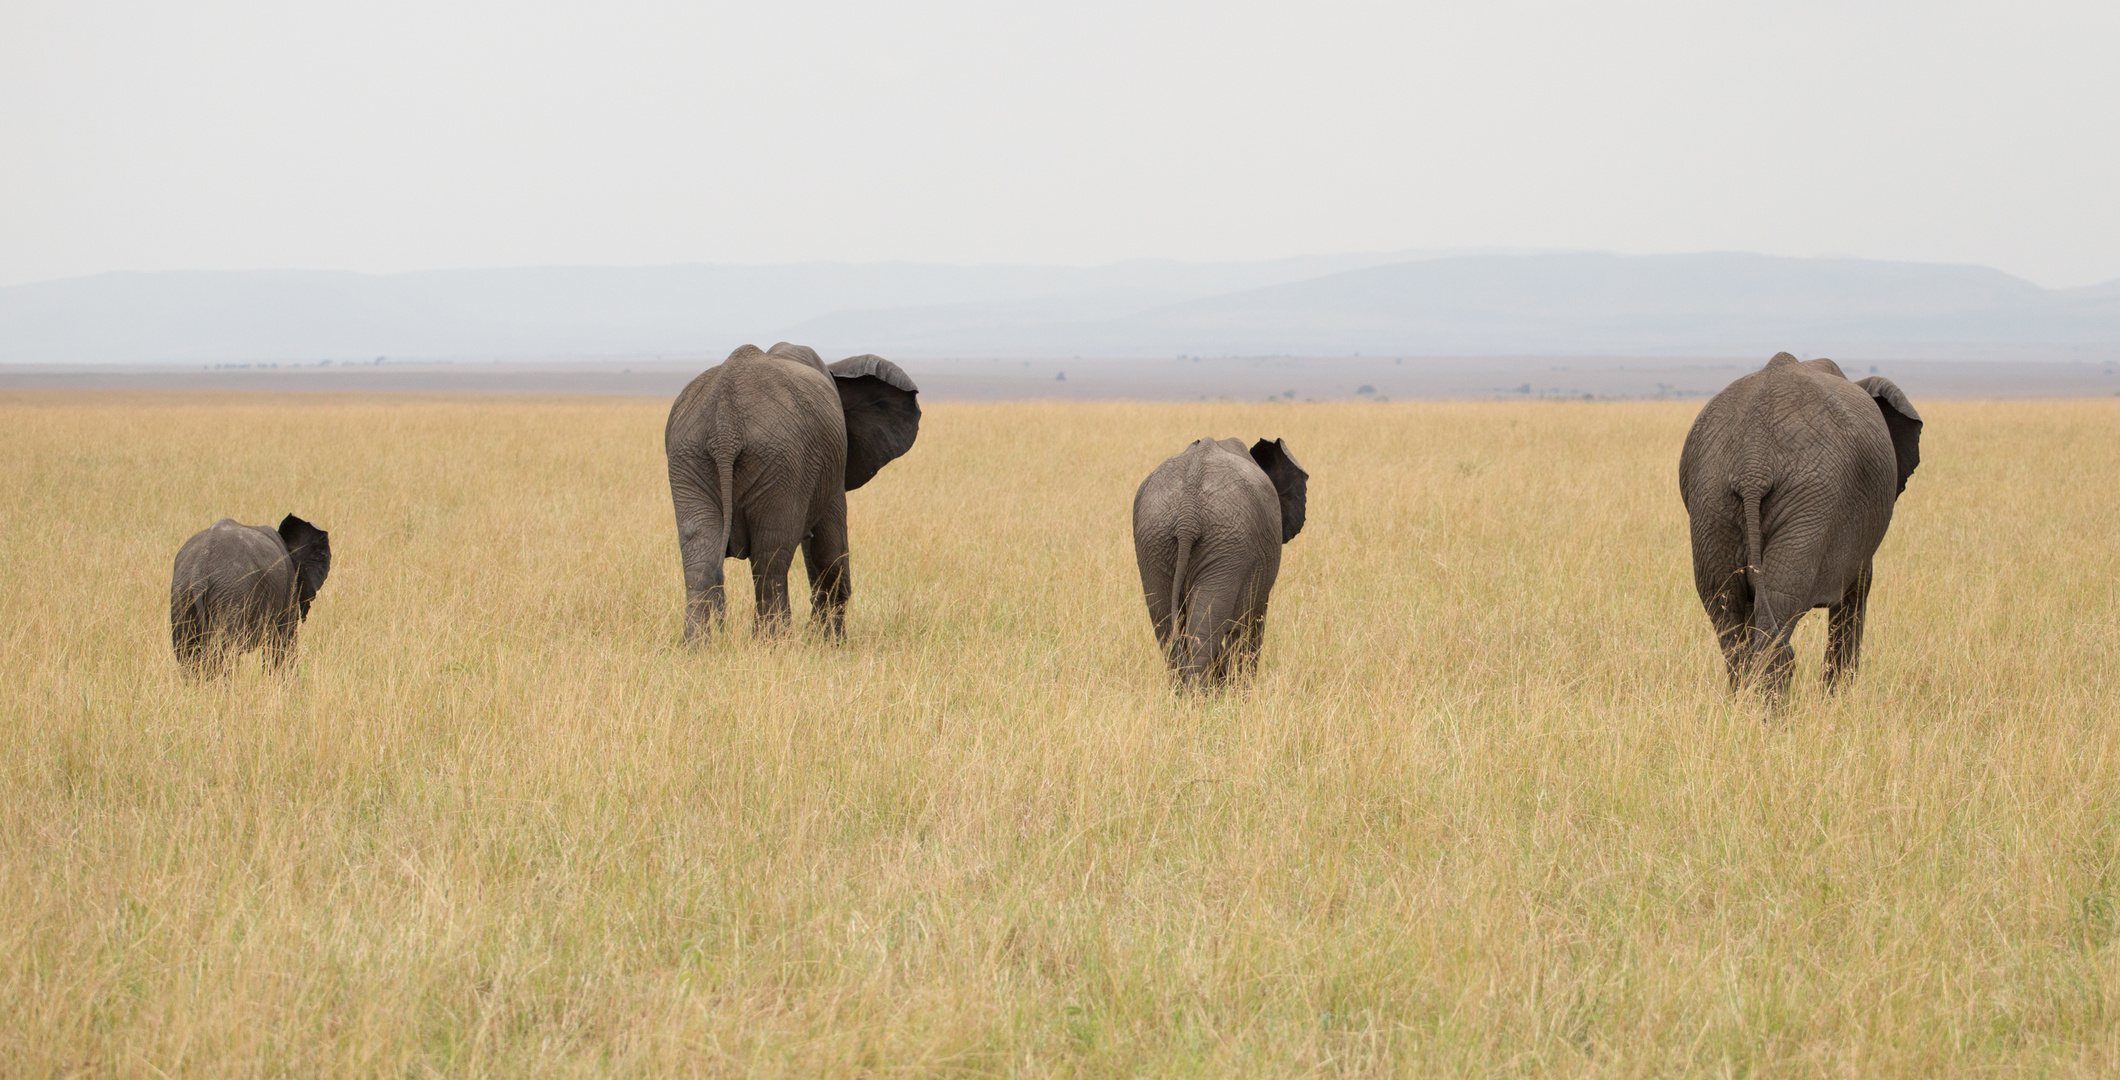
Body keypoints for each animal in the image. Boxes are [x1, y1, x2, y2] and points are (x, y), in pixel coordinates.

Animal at [171, 513, 332, 674]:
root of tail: (200, 567)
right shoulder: (289, 587)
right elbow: (282, 645)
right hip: (231, 596)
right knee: (223, 651)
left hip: (183, 594)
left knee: (187, 652)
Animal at [661, 341, 920, 636]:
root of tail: (725, 425)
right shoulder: (830, 467)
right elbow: (830, 550)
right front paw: (830, 642)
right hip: (780, 463)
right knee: (770, 559)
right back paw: (774, 642)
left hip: (689, 457)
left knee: (700, 555)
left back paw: (699, 643)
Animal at [1127, 434, 1305, 683]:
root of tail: (1188, 512)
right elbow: (1252, 624)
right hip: (1227, 543)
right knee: (1205, 633)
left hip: (1155, 540)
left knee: (1167, 630)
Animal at [1687, 354, 1924, 700]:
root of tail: (1753, 463)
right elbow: (1857, 592)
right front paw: (1837, 703)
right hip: (1811, 504)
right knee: (1779, 608)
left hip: (1712, 501)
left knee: (1725, 608)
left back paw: (1741, 708)